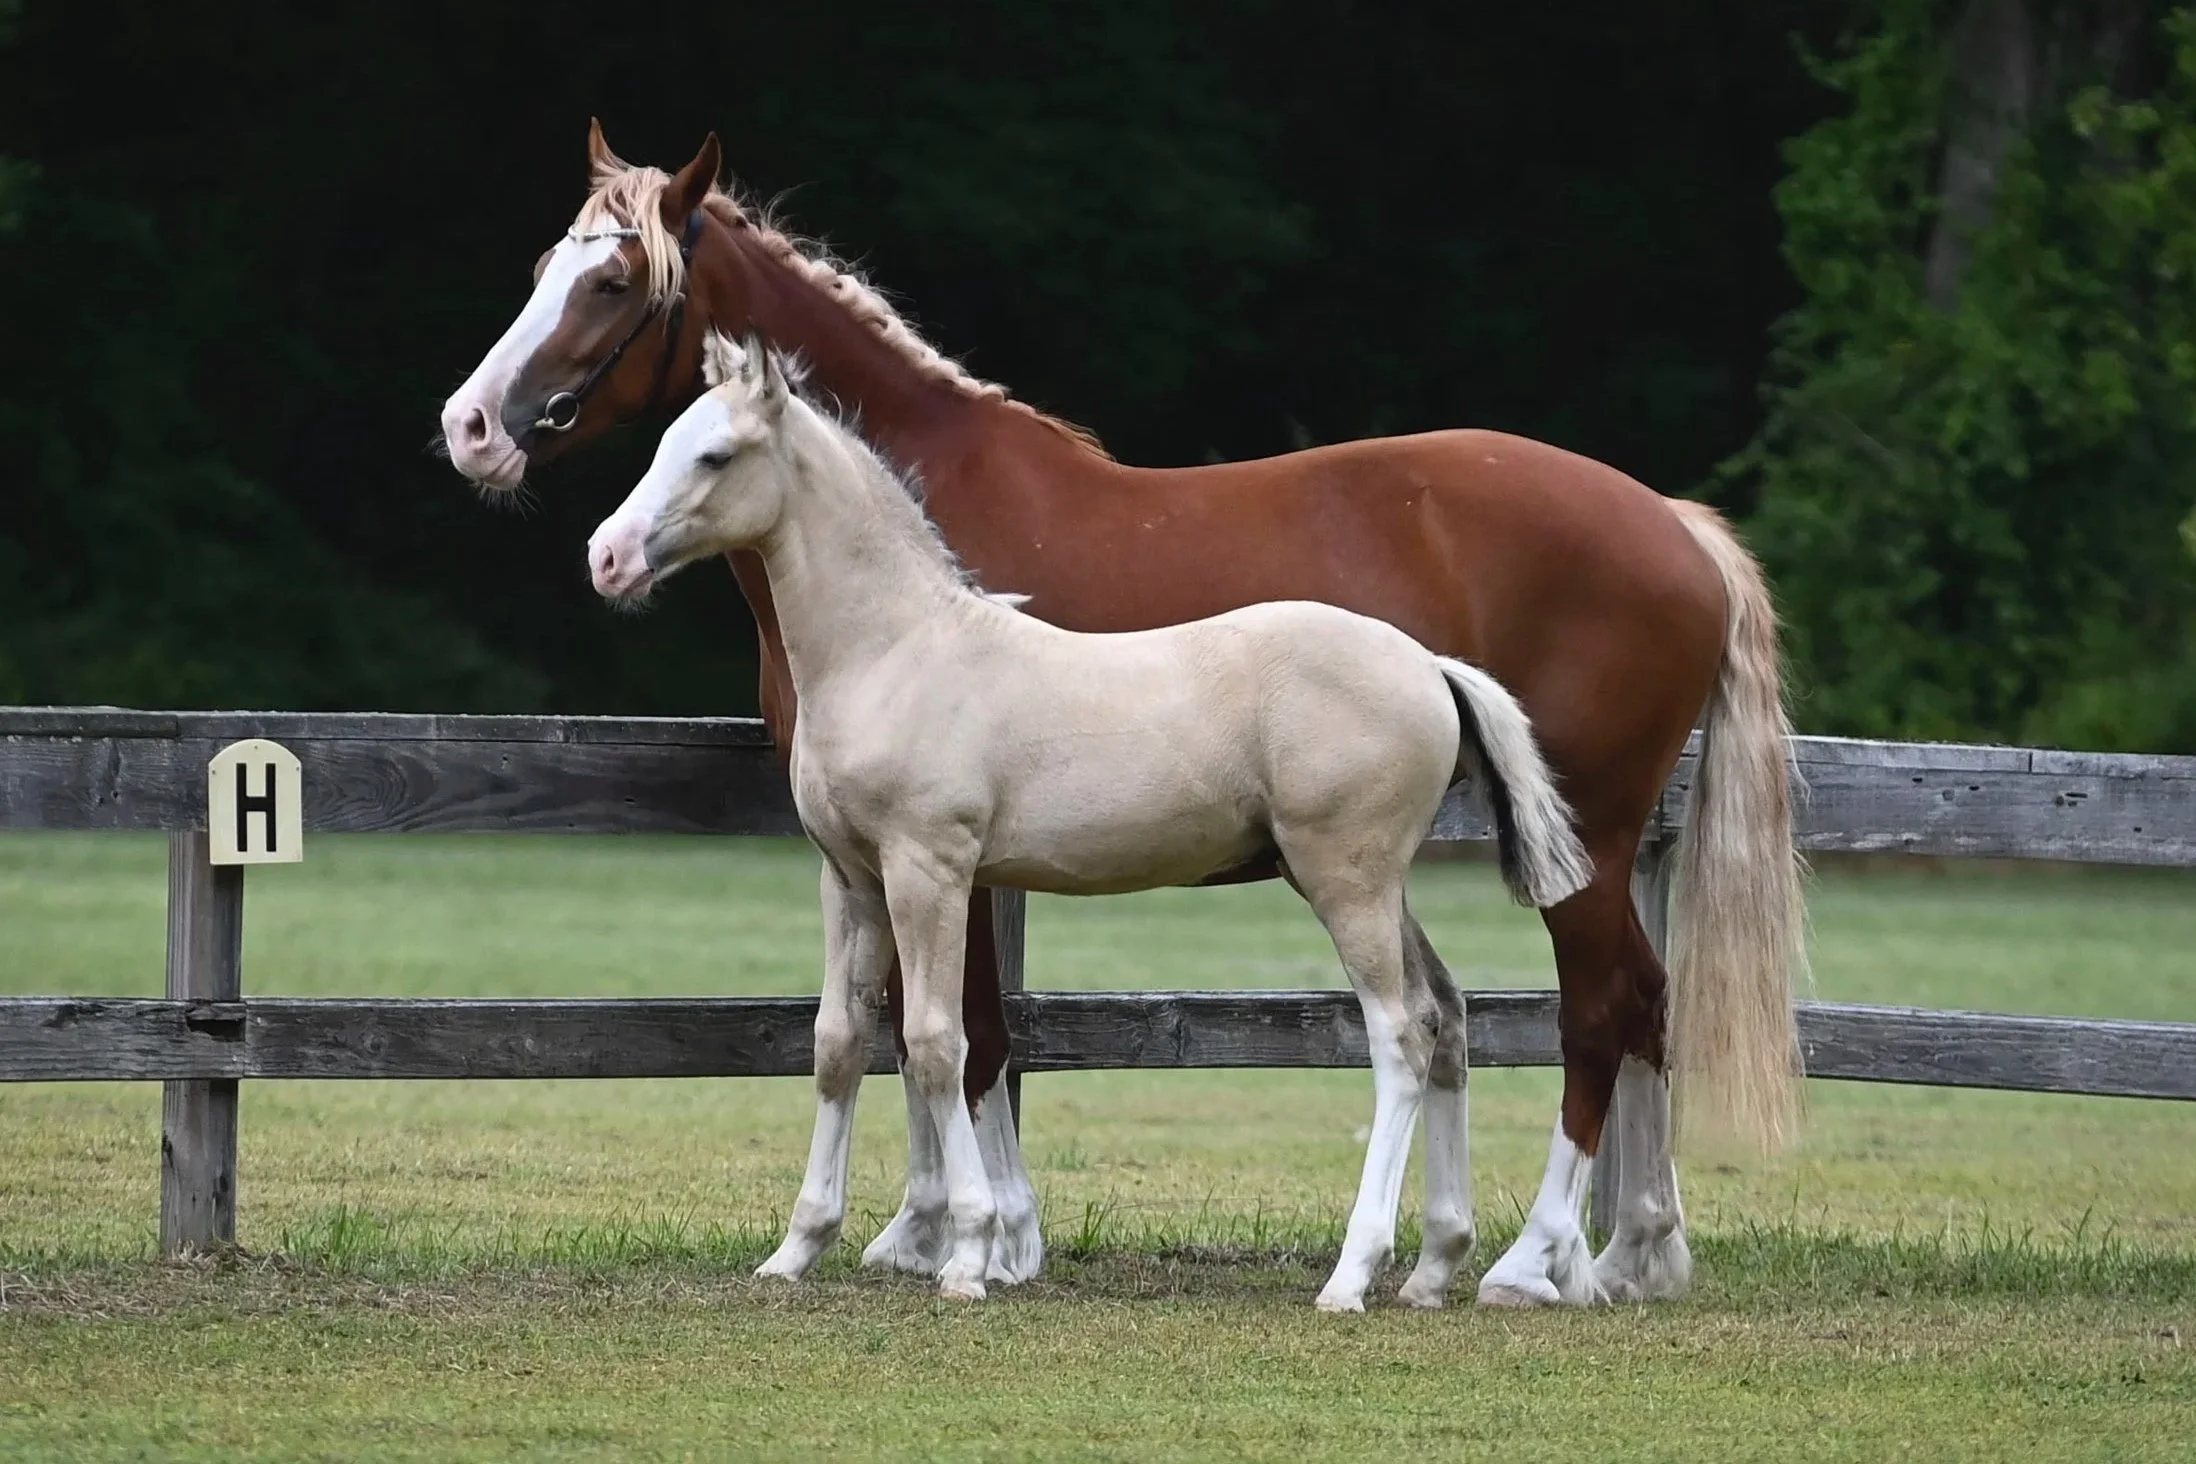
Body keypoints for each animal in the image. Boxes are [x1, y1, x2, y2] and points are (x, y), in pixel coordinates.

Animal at [586, 330, 1593, 1309]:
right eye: (664, 441)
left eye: (716, 454)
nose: (608, 557)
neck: (897, 650)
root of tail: (1430, 666)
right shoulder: (852, 879)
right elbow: (838, 1046)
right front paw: (797, 1252)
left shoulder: (930, 870)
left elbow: (936, 1045)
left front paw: (966, 1258)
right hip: (1372, 883)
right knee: (1447, 1016)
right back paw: (1433, 1267)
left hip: (1348, 880)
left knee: (1399, 1036)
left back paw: (1354, 1274)